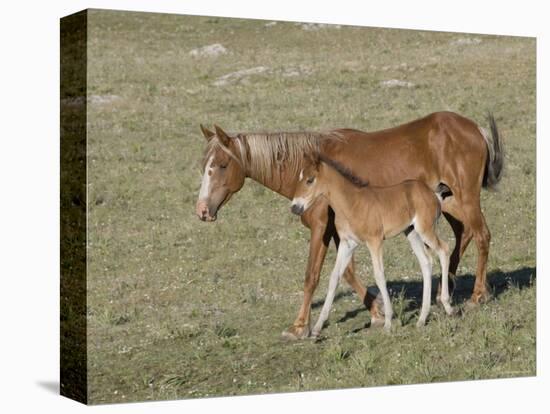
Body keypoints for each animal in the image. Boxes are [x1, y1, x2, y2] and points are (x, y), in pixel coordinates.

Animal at [292, 155, 454, 336]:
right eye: (299, 177)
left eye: (310, 180)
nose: (295, 207)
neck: (351, 203)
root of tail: (432, 193)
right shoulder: (347, 243)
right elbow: (334, 277)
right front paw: (317, 328)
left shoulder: (374, 241)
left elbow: (379, 275)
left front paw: (388, 322)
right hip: (411, 233)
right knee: (426, 262)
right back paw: (421, 319)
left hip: (425, 229)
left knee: (444, 250)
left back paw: (447, 306)